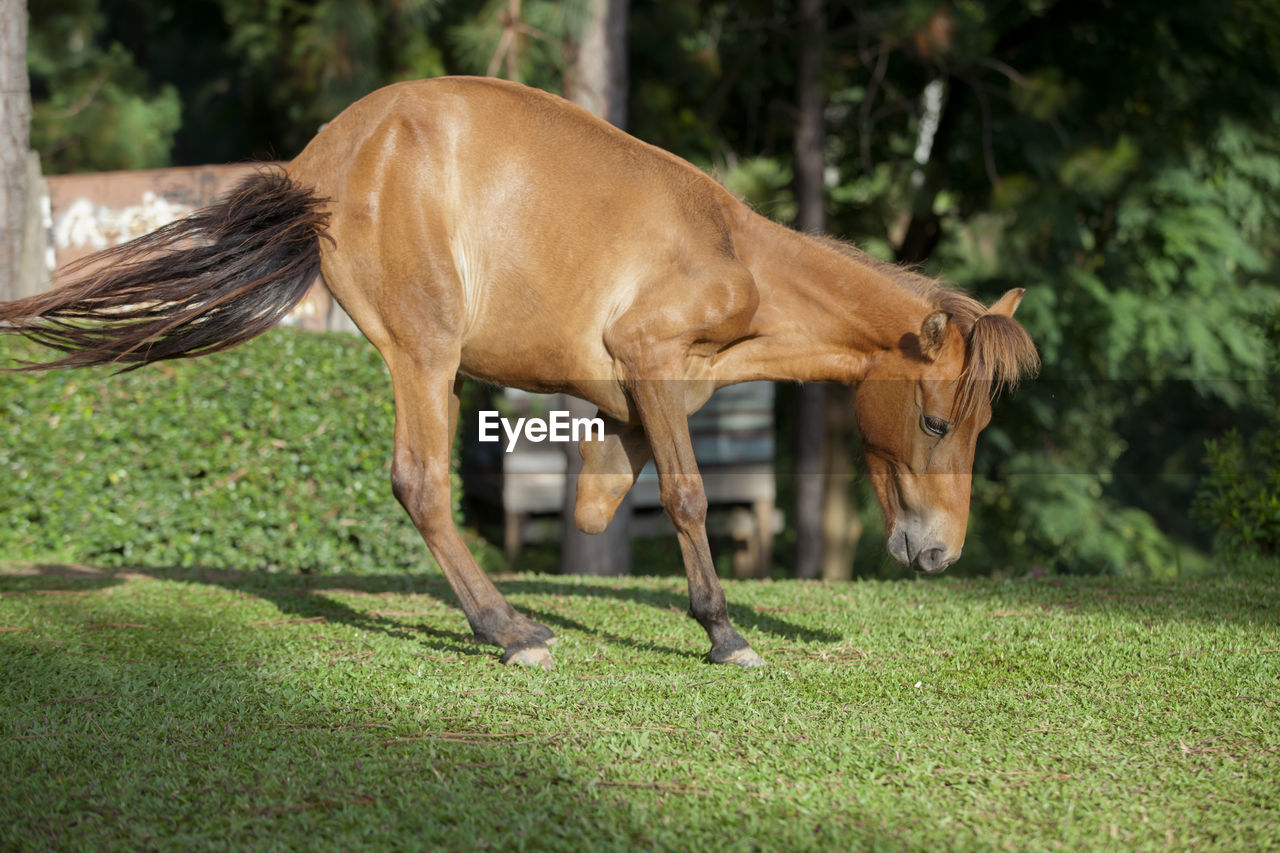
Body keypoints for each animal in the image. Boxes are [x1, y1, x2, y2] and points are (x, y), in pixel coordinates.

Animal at [2, 76, 1039, 666]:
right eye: (936, 422)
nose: (940, 554)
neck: (734, 252)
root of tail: (321, 163)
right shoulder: (651, 362)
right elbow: (692, 496)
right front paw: (722, 631)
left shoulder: (623, 416)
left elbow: (610, 504)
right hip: (426, 353)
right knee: (421, 482)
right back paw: (507, 632)